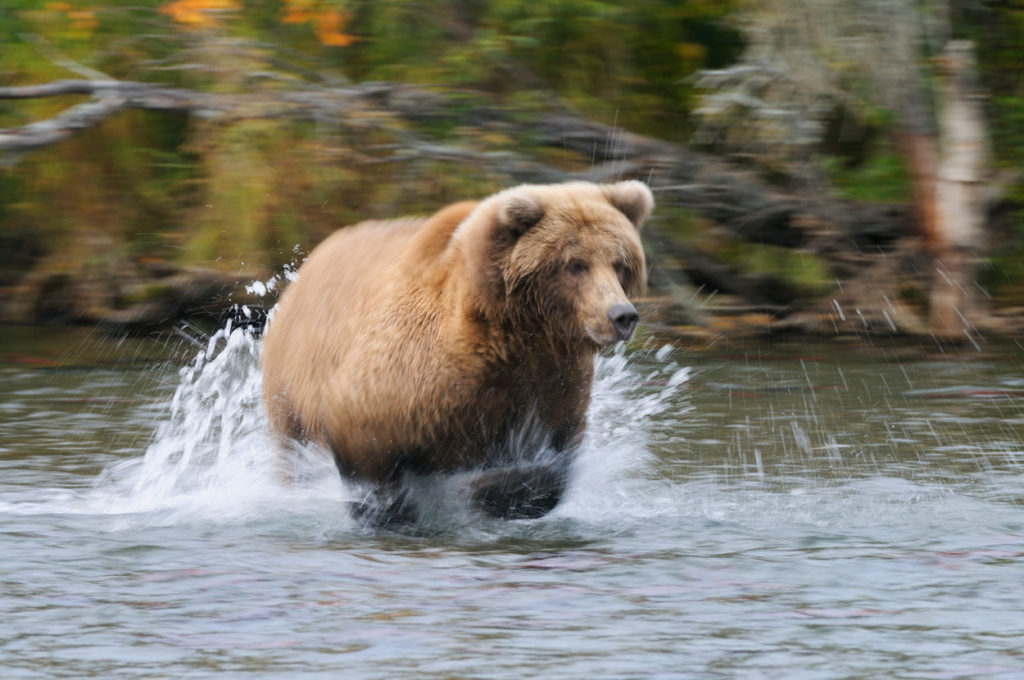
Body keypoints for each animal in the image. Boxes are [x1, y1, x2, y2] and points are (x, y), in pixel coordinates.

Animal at [260, 180, 651, 520]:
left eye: (620, 263)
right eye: (575, 264)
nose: (622, 315)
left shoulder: (550, 383)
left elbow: (554, 455)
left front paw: (500, 495)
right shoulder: (416, 377)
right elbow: (361, 428)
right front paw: (390, 512)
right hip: (292, 384)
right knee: (295, 453)